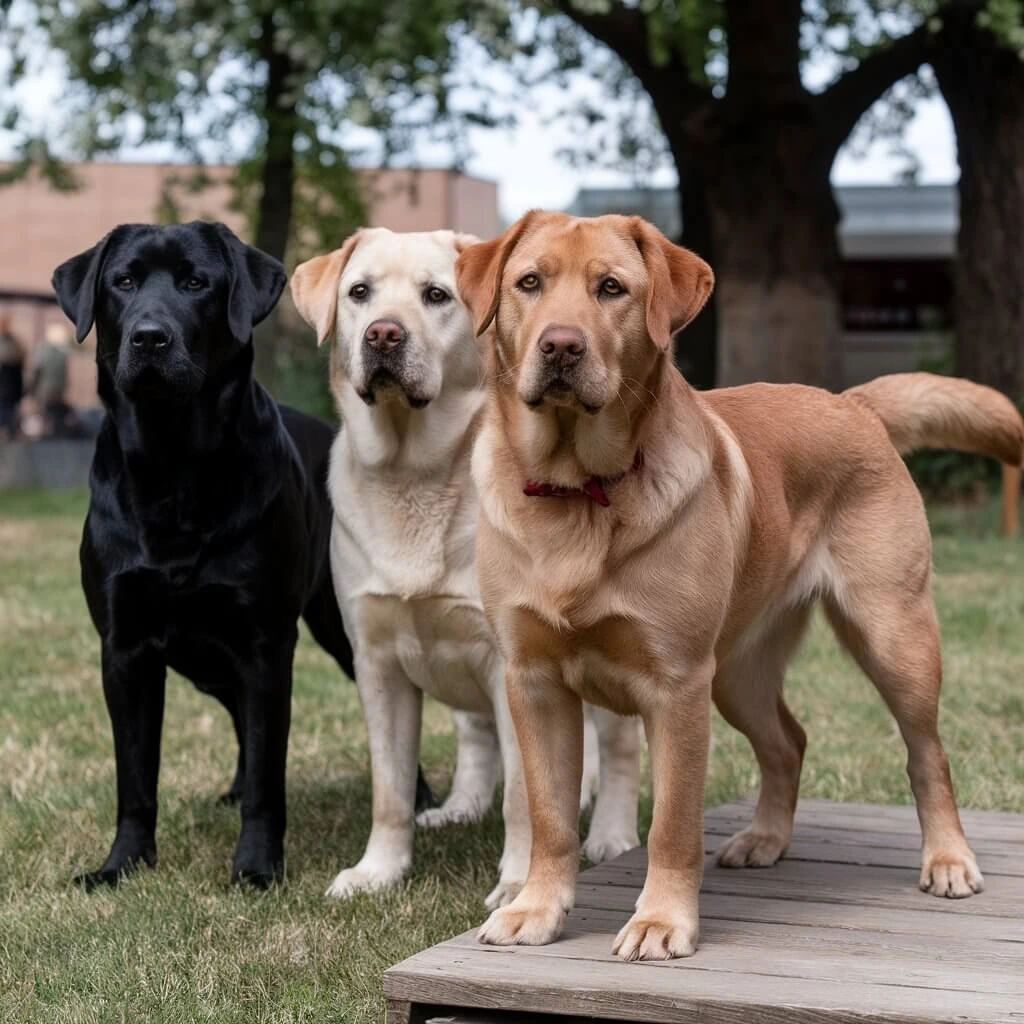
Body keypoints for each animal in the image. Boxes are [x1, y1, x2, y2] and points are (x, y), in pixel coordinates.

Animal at [54, 222, 430, 888]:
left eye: (195, 283)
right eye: (122, 282)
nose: (149, 336)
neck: (174, 467)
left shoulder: (264, 643)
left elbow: (266, 771)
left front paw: (256, 867)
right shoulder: (124, 650)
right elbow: (135, 777)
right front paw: (123, 865)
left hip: (338, 626)